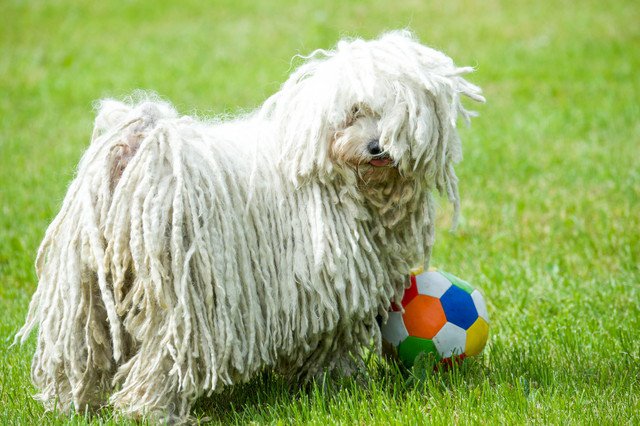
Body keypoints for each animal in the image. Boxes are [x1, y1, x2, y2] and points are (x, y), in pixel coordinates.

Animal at [16, 29, 480, 420]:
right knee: (163, 359)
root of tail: (138, 153)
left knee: (81, 350)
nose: (376, 147)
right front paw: (338, 385)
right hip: (184, 302)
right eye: (353, 112)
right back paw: (153, 410)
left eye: (396, 116)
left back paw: (71, 404)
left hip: (85, 289)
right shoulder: (328, 287)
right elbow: (330, 343)